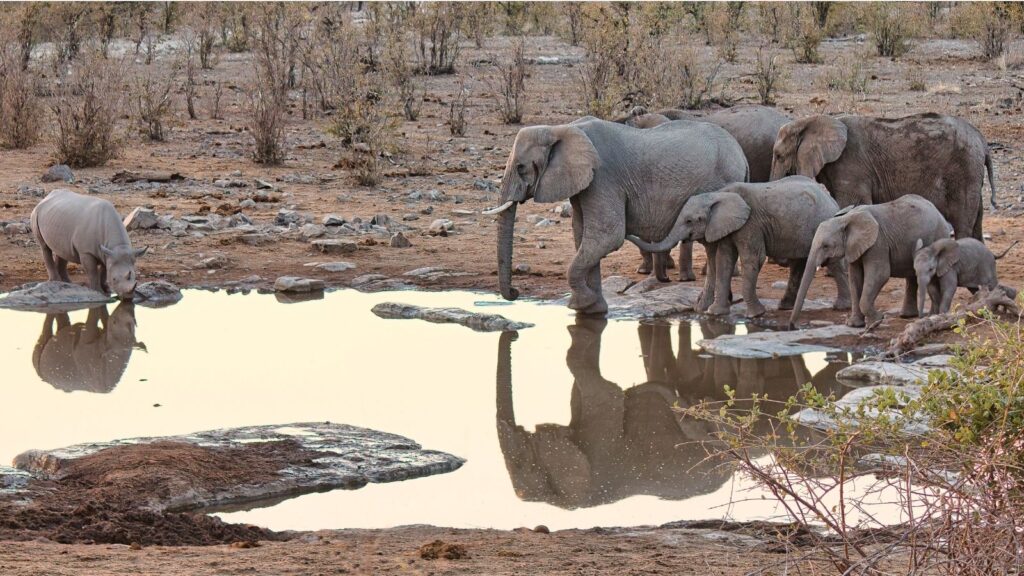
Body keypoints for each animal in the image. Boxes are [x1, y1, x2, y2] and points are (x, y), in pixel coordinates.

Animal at [488, 117, 748, 315]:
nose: (515, 293)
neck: (561, 129)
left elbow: (607, 236)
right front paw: (593, 310)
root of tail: (742, 155)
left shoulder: (603, 178)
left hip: (719, 185)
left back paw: (707, 307)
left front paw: (581, 304)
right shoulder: (585, 183)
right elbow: (583, 236)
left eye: (521, 167)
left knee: (713, 246)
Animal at [627, 176, 850, 318]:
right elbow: (724, 259)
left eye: (690, 221)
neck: (718, 195)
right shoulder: (727, 227)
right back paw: (785, 307)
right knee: (798, 263)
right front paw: (714, 313)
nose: (628, 232)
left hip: (824, 222)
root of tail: (830, 198)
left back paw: (840, 307)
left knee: (832, 262)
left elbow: (752, 259)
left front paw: (756, 315)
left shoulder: (750, 224)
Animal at [769, 113, 995, 242]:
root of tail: (983, 142)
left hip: (963, 170)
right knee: (976, 220)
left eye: (779, 155)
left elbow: (851, 204)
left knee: (963, 221)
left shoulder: (851, 168)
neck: (813, 121)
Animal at [789, 194, 952, 328]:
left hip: (938, 237)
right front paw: (854, 325)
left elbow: (880, 274)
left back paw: (927, 316)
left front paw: (877, 321)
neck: (845, 219)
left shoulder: (878, 242)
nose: (794, 326)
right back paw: (907, 316)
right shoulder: (854, 247)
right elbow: (855, 278)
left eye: (825, 246)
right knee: (912, 276)